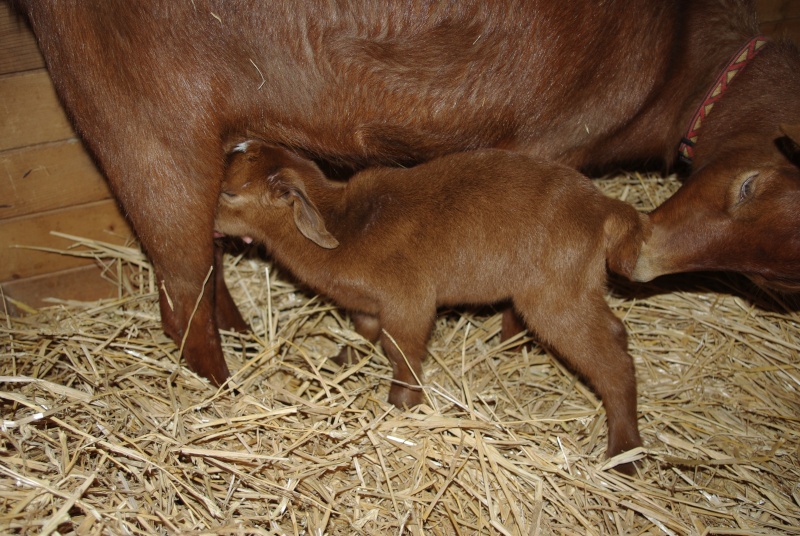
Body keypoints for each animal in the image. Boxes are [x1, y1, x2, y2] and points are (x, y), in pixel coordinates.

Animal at [12, 1, 800, 386]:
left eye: (784, 278)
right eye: (751, 184)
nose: (642, 258)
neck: (680, 57)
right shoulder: (551, 141)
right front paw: (510, 341)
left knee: (200, 273)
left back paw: (245, 343)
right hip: (146, 121)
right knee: (180, 294)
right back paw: (222, 393)